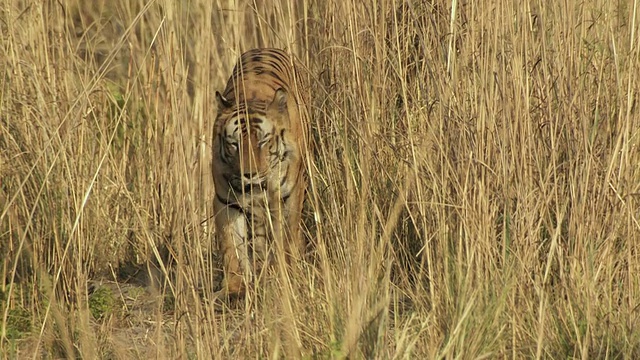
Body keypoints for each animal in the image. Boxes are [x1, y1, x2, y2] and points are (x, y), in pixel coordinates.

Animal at [211, 47, 308, 296]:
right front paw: (234, 287)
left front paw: (284, 275)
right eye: (234, 144)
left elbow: (286, 238)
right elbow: (231, 245)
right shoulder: (226, 200)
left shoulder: (288, 195)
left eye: (263, 141)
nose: (249, 174)